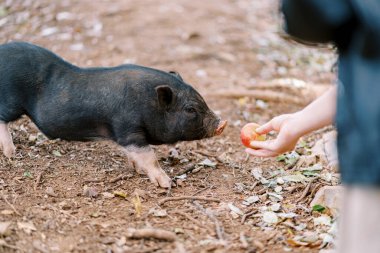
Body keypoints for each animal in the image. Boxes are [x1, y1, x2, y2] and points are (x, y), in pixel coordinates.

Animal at [0, 42, 226, 188]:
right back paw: (11, 154)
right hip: (11, 102)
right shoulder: (128, 130)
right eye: (190, 109)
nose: (221, 123)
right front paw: (166, 184)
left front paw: (136, 170)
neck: (148, 103)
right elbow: (149, 156)